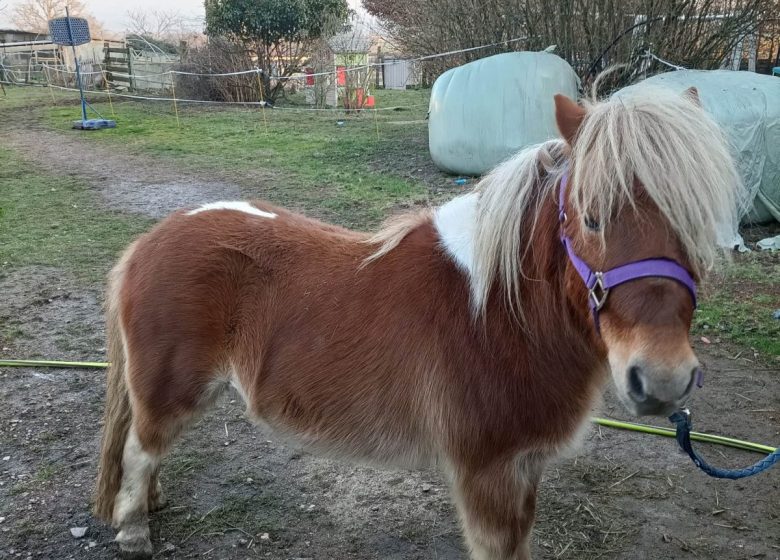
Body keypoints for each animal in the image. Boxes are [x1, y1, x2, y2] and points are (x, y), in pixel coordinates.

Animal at [94, 85, 740, 556]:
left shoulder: (524, 469)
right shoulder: (487, 476)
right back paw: (133, 529)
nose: (662, 380)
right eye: (591, 216)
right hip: (170, 392)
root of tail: (148, 242)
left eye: (696, 224)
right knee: (141, 447)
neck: (497, 313)